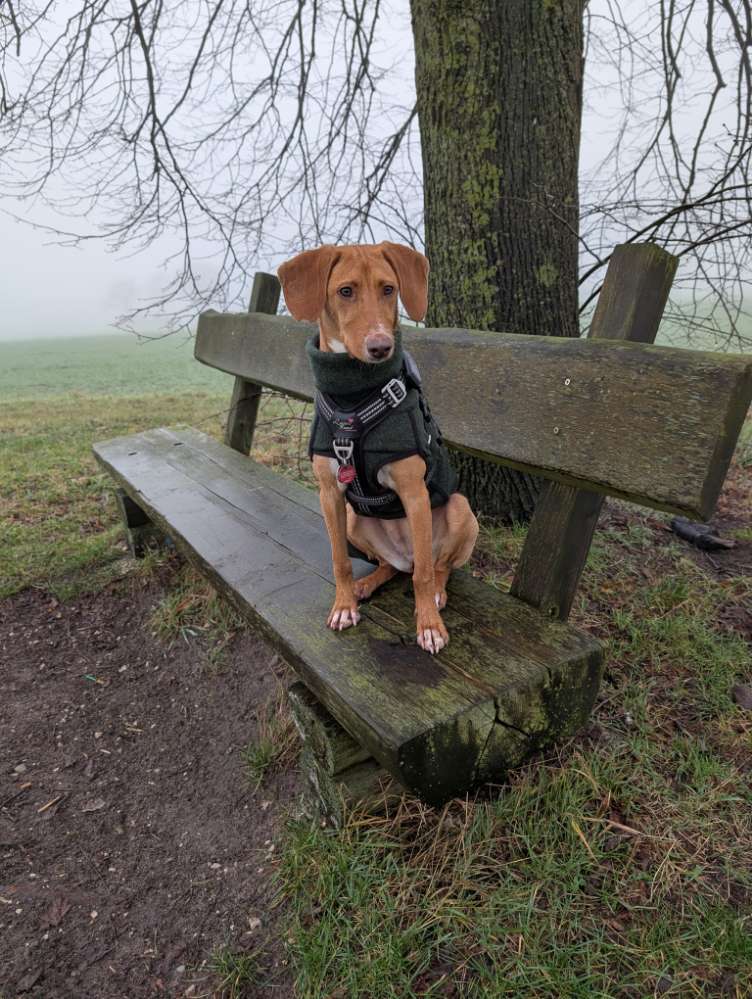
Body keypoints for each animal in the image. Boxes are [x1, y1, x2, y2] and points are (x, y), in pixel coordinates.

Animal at [280, 238, 478, 652]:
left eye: (389, 289)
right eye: (345, 291)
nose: (381, 347)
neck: (353, 399)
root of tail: (403, 555)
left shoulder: (414, 493)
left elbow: (423, 576)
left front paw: (429, 625)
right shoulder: (329, 494)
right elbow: (339, 560)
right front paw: (343, 604)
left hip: (460, 510)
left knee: (433, 566)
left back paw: (436, 593)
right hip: (356, 519)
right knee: (390, 566)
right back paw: (365, 584)